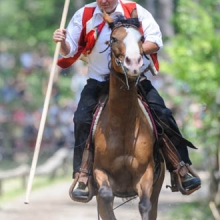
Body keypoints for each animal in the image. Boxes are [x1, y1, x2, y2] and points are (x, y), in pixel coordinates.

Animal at [92, 12, 166, 220]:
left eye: (141, 38)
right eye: (113, 39)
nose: (133, 64)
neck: (123, 125)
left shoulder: (146, 172)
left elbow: (145, 205)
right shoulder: (99, 170)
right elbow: (106, 196)